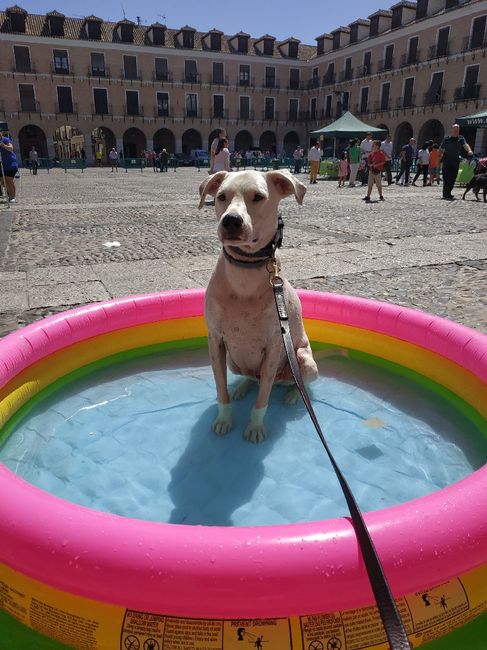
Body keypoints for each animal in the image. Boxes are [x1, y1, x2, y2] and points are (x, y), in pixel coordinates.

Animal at [199, 167, 320, 442]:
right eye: (221, 196)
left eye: (258, 196)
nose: (231, 220)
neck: (245, 272)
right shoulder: (216, 341)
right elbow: (221, 389)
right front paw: (224, 419)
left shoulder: (274, 346)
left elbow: (262, 400)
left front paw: (255, 427)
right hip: (235, 362)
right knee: (251, 377)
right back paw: (243, 387)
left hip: (302, 359)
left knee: (300, 383)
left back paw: (295, 395)